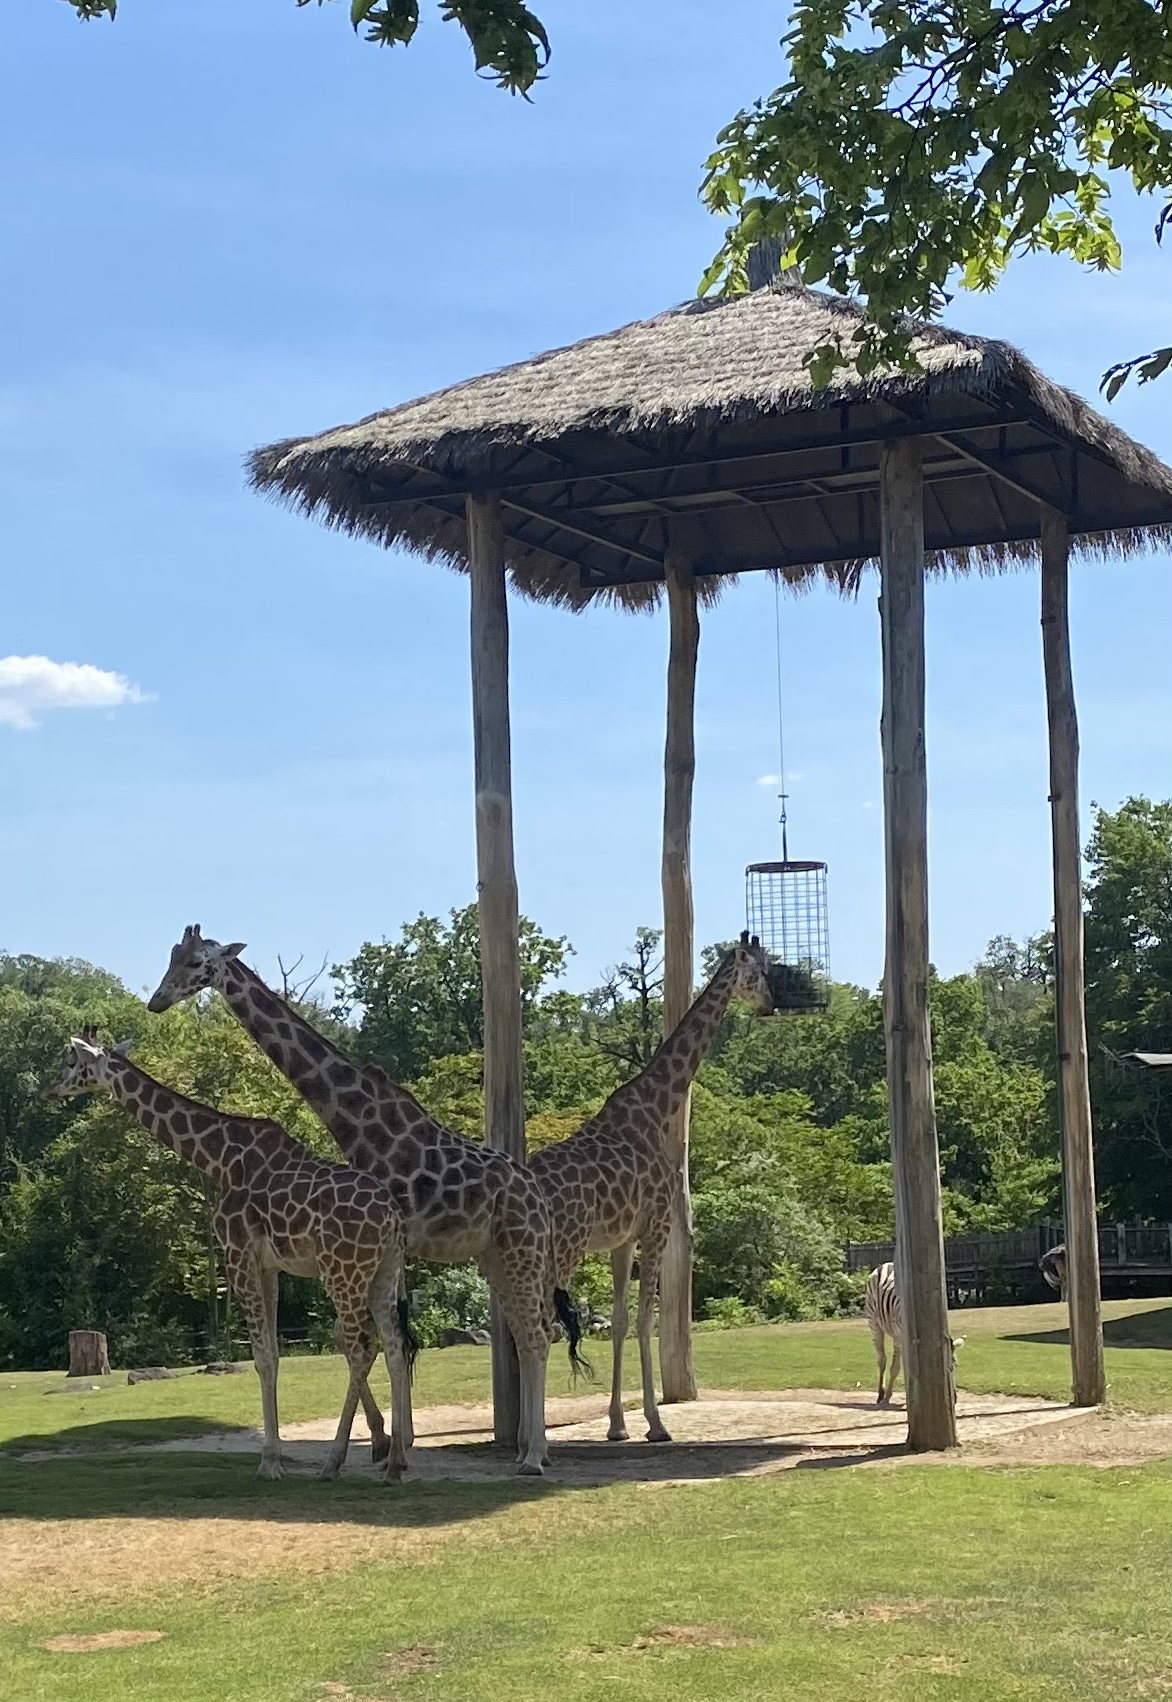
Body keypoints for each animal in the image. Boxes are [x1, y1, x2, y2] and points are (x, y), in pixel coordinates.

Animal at [43, 1030, 415, 1483]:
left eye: (71, 1061)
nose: (48, 1089)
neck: (217, 1158)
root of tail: (394, 1218)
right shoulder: (270, 1265)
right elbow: (273, 1352)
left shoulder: (236, 1253)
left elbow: (263, 1357)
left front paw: (269, 1462)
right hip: (383, 1271)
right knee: (394, 1346)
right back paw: (395, 1462)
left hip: (342, 1272)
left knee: (361, 1348)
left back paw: (334, 1462)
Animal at [146, 926, 575, 1476]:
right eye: (171, 956)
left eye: (197, 962)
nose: (157, 1001)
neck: (355, 1122)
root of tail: (538, 1197)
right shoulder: (387, 1246)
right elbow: (384, 1336)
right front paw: (389, 1443)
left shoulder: (387, 1241)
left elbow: (384, 1337)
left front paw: (391, 1445)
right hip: (497, 1256)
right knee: (530, 1330)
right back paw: (525, 1446)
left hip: (522, 1250)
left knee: (539, 1332)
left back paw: (535, 1456)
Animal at [529, 932, 774, 1445]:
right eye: (759, 972)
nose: (768, 1004)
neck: (659, 1106)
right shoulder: (657, 1225)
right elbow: (647, 1319)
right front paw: (656, 1424)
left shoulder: (621, 1240)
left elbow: (621, 1320)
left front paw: (617, 1425)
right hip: (564, 1250)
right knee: (541, 1326)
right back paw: (533, 1439)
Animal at [864, 1262, 965, 1406]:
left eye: (954, 1366)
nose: (954, 1399)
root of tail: (886, 1264)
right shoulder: (900, 1337)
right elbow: (897, 1367)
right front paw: (889, 1397)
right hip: (874, 1322)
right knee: (882, 1359)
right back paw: (881, 1394)